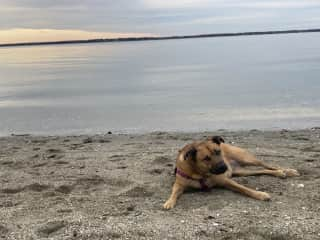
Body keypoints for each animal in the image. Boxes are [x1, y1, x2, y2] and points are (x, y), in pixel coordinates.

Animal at [164, 136, 298, 209]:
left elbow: (244, 188)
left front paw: (260, 195)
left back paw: (288, 171)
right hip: (242, 172)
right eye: (206, 158)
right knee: (262, 170)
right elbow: (174, 192)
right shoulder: (179, 184)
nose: (224, 167)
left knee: (267, 165)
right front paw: (169, 202)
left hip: (246, 158)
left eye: (218, 151)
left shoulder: (225, 180)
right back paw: (280, 173)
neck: (200, 172)